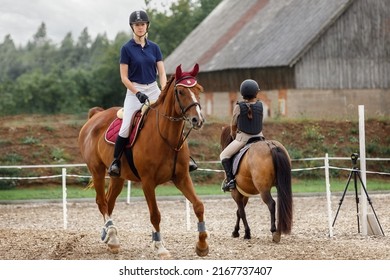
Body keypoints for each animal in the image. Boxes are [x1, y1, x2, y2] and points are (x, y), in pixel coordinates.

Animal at [77, 63, 209, 258]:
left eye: (199, 89)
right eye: (181, 92)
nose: (197, 120)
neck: (166, 138)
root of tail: (96, 116)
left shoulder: (182, 177)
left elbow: (199, 205)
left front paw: (202, 245)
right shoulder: (148, 182)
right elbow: (155, 214)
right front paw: (160, 247)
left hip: (118, 177)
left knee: (109, 201)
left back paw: (110, 237)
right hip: (97, 171)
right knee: (101, 201)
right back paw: (112, 236)